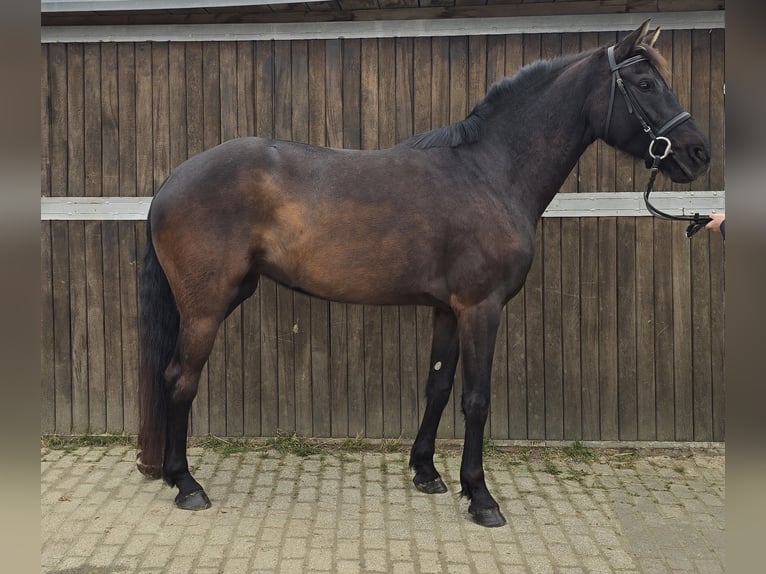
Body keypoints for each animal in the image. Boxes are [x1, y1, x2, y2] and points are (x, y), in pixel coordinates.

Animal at [135, 20, 712, 528]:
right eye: (645, 84)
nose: (698, 152)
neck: (490, 173)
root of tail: (171, 182)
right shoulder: (482, 308)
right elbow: (476, 400)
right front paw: (481, 497)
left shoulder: (447, 311)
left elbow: (437, 386)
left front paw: (427, 473)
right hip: (206, 307)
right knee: (179, 379)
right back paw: (186, 484)